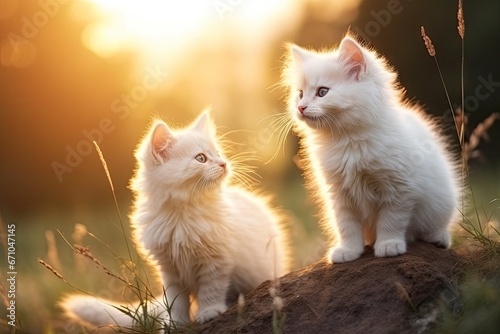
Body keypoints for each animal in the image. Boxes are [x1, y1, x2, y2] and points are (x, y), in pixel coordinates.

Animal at [61, 112, 290, 328]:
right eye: (201, 158)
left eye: (218, 154)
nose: (224, 163)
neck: (182, 215)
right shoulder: (168, 269)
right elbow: (176, 301)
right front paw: (174, 323)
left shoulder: (216, 261)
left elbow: (211, 290)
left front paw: (209, 312)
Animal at [284, 34, 458, 264]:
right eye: (301, 94)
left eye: (322, 92)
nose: (301, 107)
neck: (348, 141)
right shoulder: (339, 193)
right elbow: (346, 226)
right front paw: (348, 251)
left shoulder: (398, 189)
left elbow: (391, 221)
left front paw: (388, 245)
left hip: (442, 202)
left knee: (439, 227)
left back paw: (437, 238)